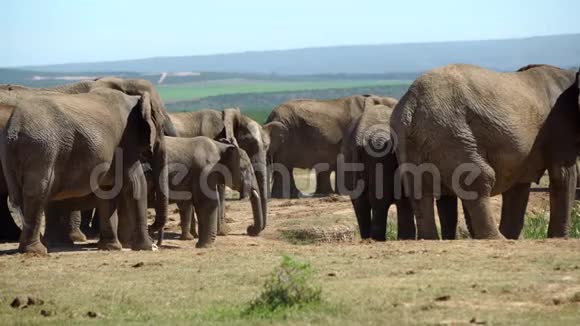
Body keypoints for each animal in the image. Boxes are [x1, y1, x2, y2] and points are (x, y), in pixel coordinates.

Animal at [340, 100, 416, 241]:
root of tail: (358, 138)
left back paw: (369, 239)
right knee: (380, 202)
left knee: (360, 203)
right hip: (379, 155)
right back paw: (378, 239)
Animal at [390, 65, 580, 241]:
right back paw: (497, 239)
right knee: (479, 178)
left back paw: (430, 239)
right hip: (450, 131)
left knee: (418, 189)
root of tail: (411, 103)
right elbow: (563, 174)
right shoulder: (561, 123)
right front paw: (559, 238)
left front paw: (513, 236)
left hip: (413, 138)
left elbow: (518, 186)